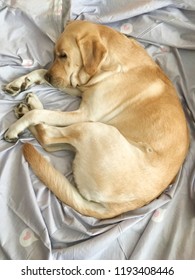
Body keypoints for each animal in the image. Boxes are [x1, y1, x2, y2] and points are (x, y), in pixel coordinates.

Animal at [3, 20, 189, 220]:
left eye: (63, 56)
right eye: (54, 54)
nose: (49, 79)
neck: (112, 64)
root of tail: (115, 208)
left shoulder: (85, 112)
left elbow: (39, 114)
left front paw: (16, 127)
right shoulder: (80, 86)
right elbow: (41, 70)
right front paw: (20, 82)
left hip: (95, 129)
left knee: (47, 134)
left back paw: (27, 111)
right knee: (49, 139)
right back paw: (29, 104)